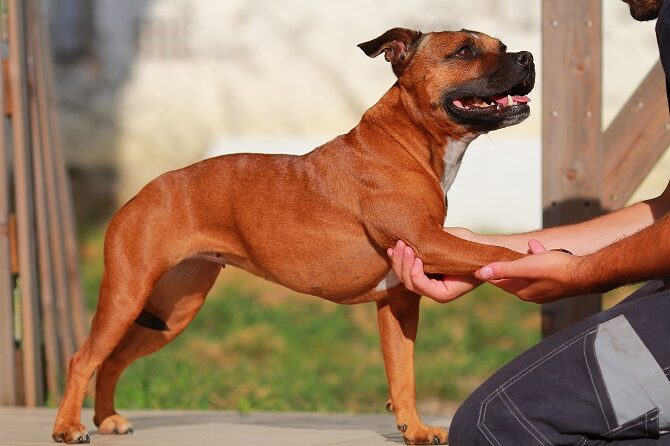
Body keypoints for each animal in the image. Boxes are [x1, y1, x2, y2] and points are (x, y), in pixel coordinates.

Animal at [52, 28, 536, 446]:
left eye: (502, 45)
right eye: (464, 51)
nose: (527, 57)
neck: (409, 141)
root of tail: (141, 193)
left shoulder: (399, 300)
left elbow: (403, 374)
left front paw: (413, 430)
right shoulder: (430, 243)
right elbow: (494, 250)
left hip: (174, 310)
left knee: (112, 360)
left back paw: (106, 420)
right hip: (126, 296)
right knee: (83, 358)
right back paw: (68, 426)